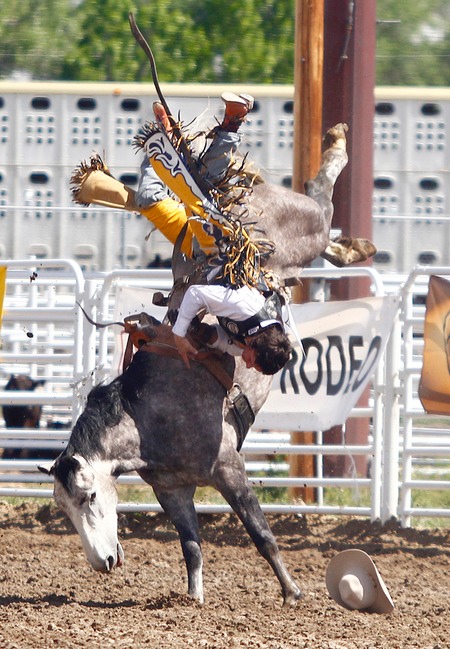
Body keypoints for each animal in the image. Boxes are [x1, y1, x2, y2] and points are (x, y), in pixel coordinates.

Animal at [38, 12, 376, 604]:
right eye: (63, 508)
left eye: (89, 497)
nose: (103, 563)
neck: (144, 416)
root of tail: (227, 206)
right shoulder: (173, 489)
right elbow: (191, 544)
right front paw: (193, 599)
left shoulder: (228, 466)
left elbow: (260, 532)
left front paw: (293, 592)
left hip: (302, 225)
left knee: (322, 198)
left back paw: (332, 140)